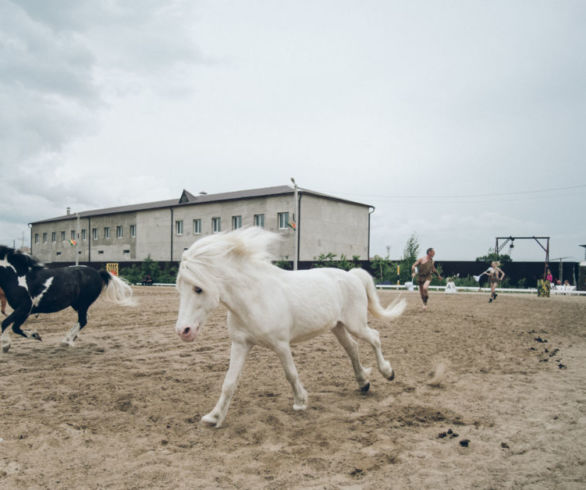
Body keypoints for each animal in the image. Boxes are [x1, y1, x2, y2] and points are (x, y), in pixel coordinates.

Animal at [172, 228, 402, 426]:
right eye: (180, 289)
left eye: (198, 289)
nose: (184, 331)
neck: (254, 298)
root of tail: (353, 275)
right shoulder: (240, 344)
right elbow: (229, 382)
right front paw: (214, 417)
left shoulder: (281, 344)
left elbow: (290, 373)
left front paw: (300, 402)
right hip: (337, 326)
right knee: (352, 348)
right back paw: (363, 383)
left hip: (355, 323)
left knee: (374, 337)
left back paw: (388, 372)